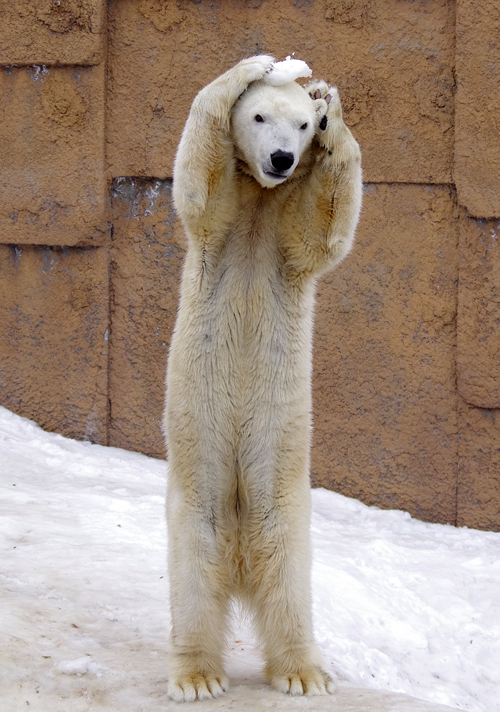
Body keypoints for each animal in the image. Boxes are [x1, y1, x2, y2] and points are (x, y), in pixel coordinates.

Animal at [166, 54, 362, 700]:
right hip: (198, 469)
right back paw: (197, 675)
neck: (260, 195)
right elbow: (197, 180)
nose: (281, 158)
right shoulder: (223, 220)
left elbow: (327, 228)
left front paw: (332, 106)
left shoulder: (285, 239)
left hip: (280, 474)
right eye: (258, 117)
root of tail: (239, 553)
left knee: (287, 565)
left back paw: (303, 671)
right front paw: (253, 65)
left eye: (300, 126)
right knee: (194, 561)